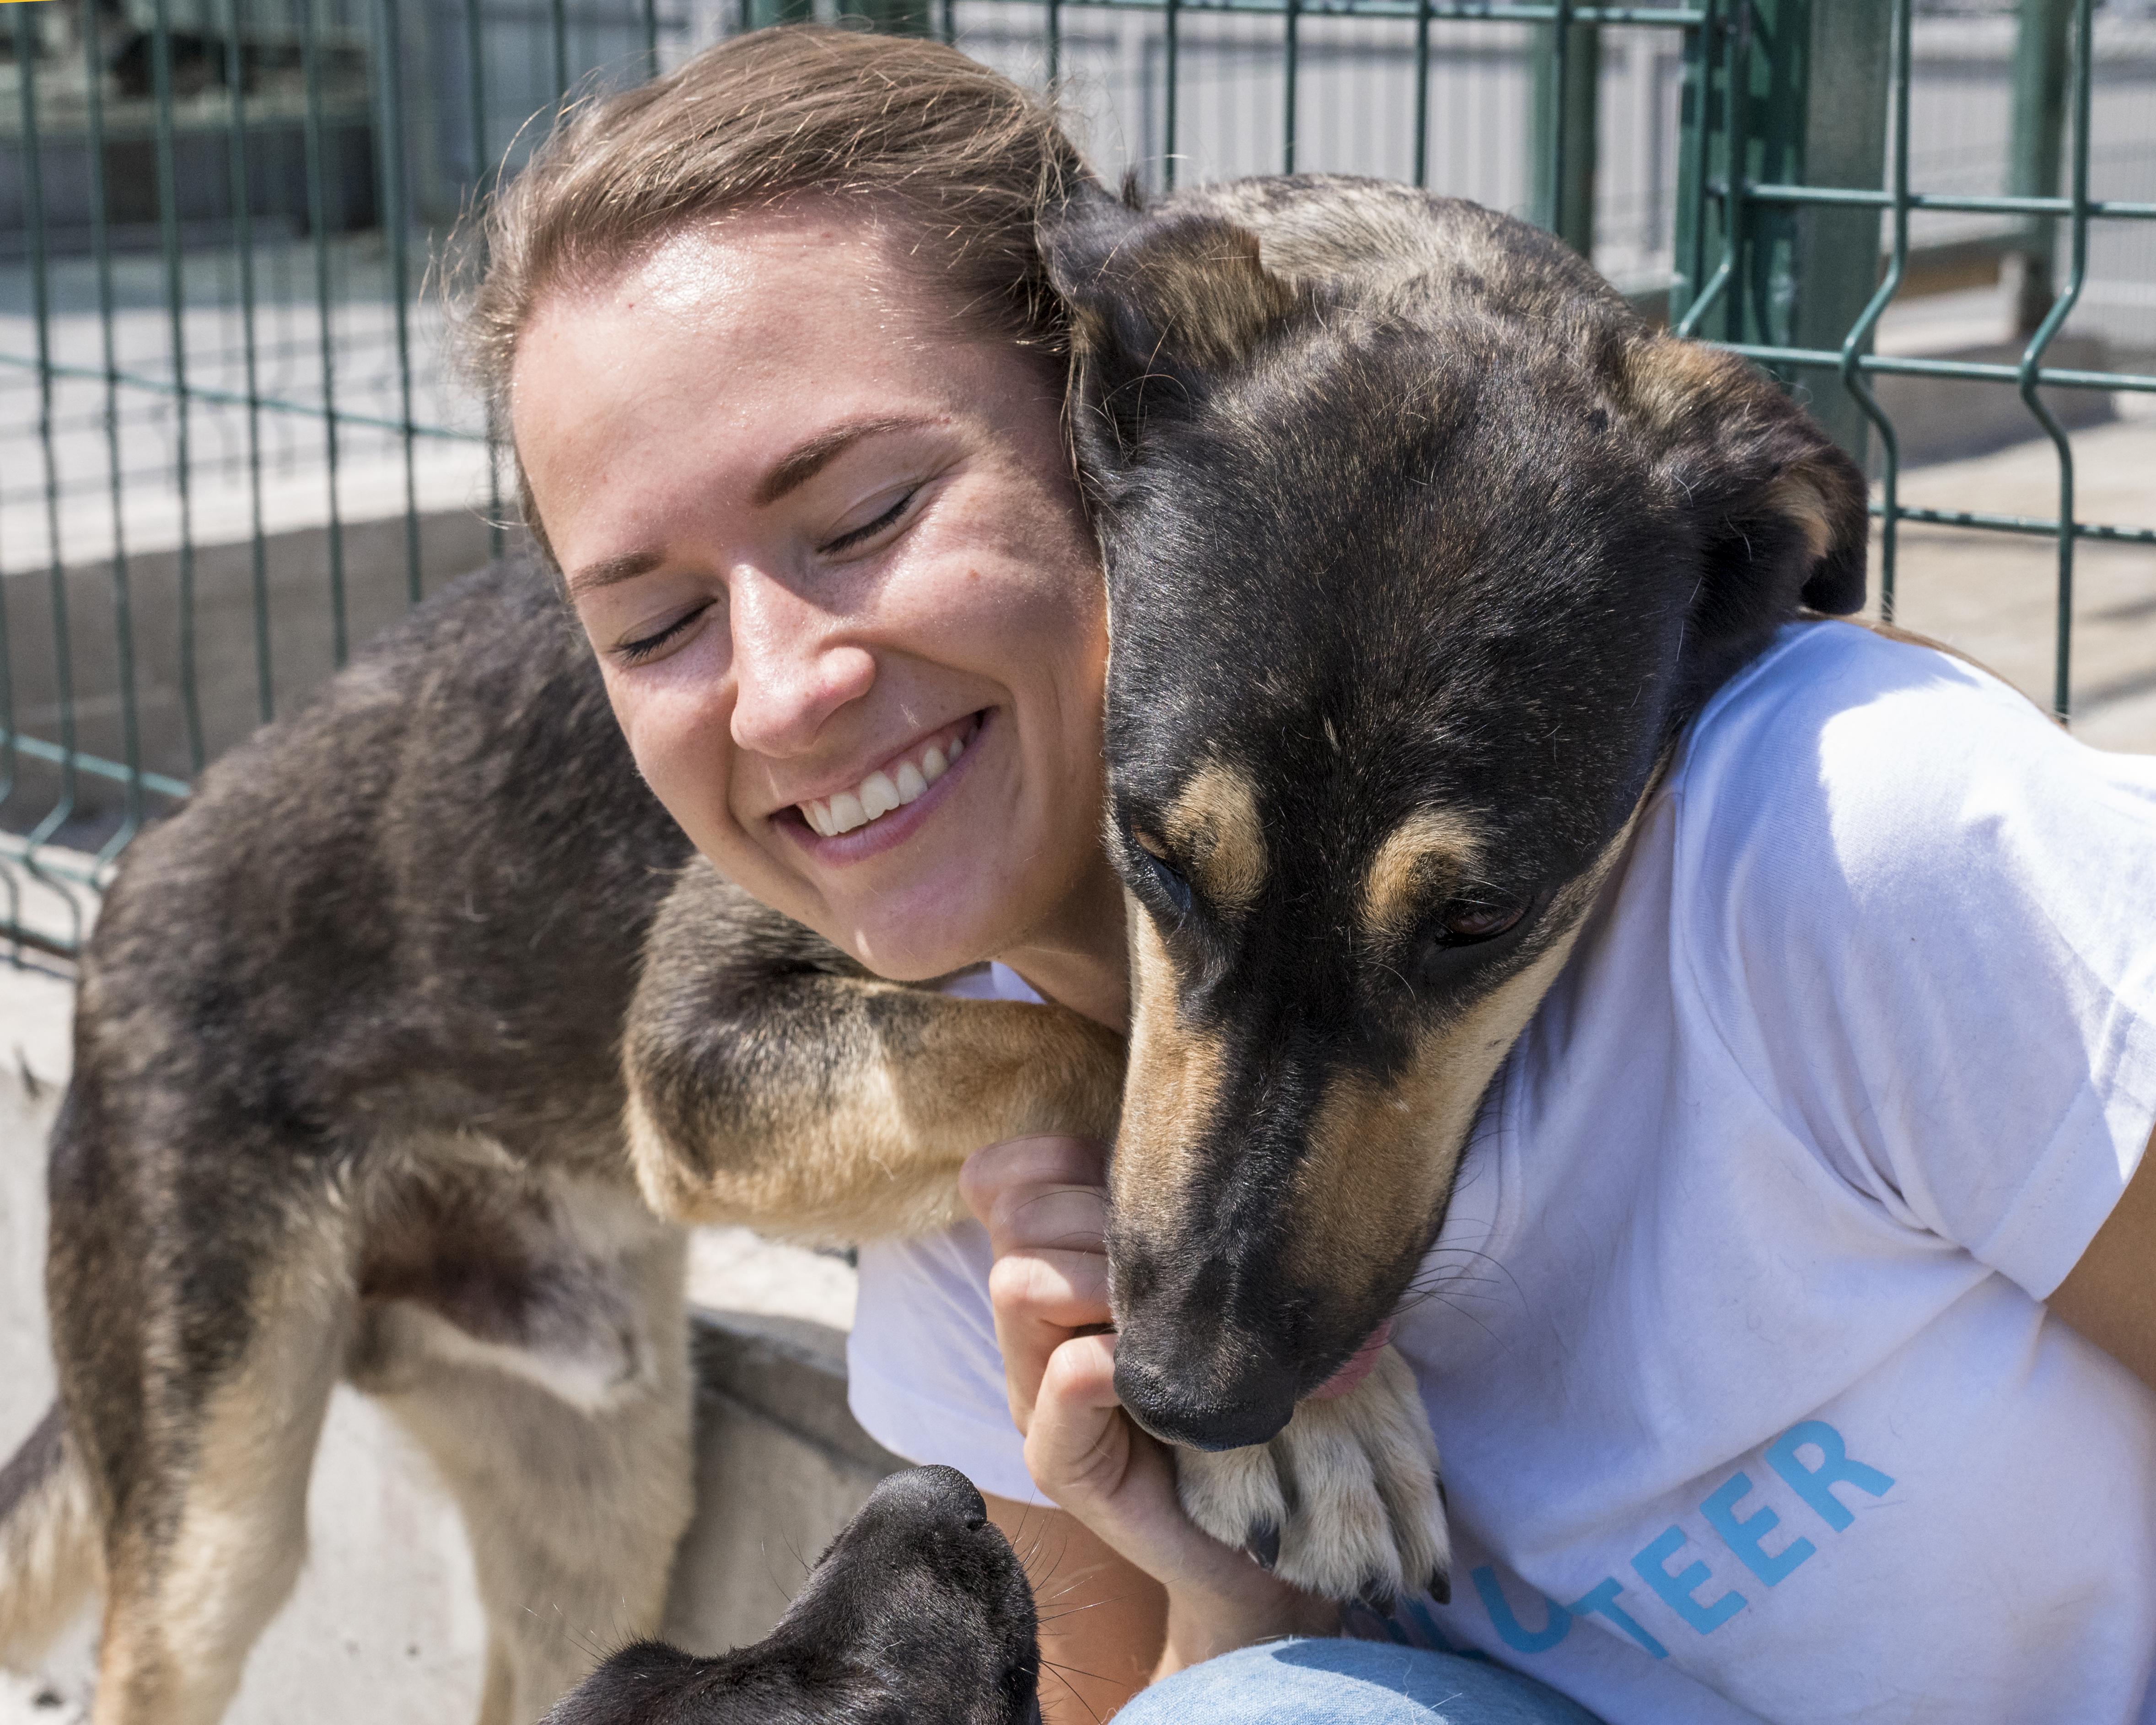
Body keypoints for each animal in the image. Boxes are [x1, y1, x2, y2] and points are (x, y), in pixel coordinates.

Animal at [0, 168, 1854, 1716]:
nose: (1191, 1389)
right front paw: (1329, 1424)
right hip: (218, 1501)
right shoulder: (693, 1046)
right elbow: (1079, 1051)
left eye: (1478, 921)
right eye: (1152, 852)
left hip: (605, 1474)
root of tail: (132, 880)